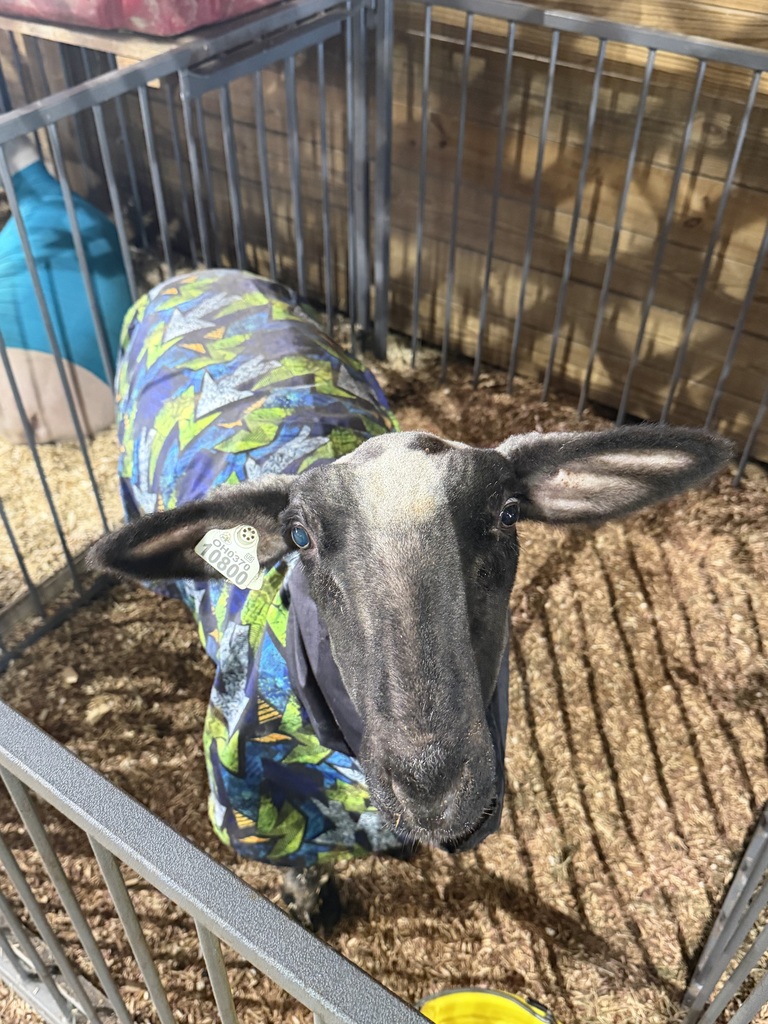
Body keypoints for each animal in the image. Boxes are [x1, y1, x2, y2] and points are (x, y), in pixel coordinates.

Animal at [89, 268, 732, 929]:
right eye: (300, 538)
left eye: (508, 513)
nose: (431, 785)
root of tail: (201, 272)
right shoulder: (257, 806)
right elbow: (295, 861)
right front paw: (308, 903)